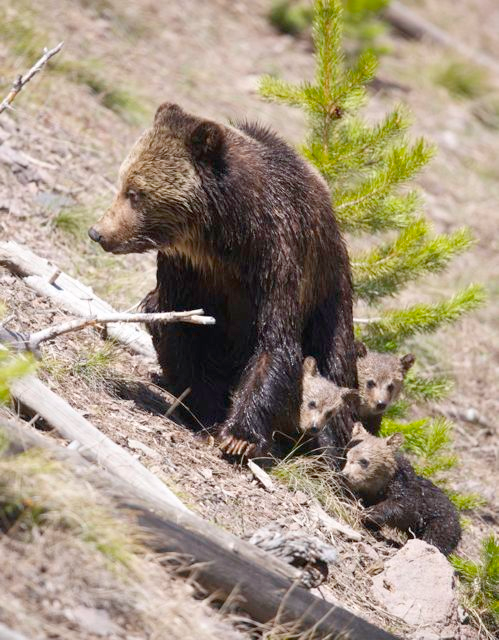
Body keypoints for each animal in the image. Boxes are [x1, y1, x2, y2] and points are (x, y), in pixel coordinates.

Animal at [88, 103, 357, 460]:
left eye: (135, 193)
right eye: (123, 183)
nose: (99, 232)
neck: (226, 240)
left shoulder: (278, 261)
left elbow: (274, 343)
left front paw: (238, 435)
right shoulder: (187, 270)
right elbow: (178, 324)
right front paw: (206, 411)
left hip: (330, 299)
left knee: (336, 366)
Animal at [342, 423, 461, 556]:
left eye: (364, 461)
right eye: (346, 455)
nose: (345, 475)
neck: (379, 485)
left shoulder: (407, 490)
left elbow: (402, 506)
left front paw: (368, 514)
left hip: (442, 523)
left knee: (435, 539)